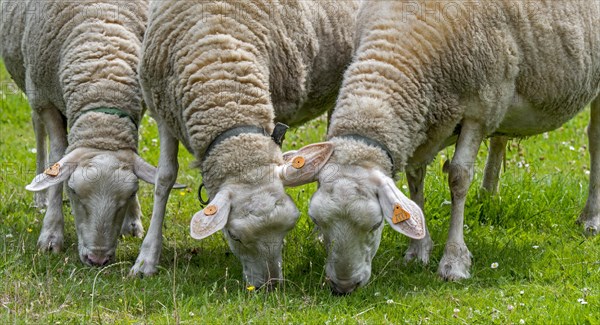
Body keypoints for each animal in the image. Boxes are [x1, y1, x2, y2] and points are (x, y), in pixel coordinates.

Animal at [0, 0, 162, 266]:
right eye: (73, 192)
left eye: (131, 193)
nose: (97, 259)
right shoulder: (45, 99)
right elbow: (57, 158)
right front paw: (51, 235)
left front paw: (133, 221)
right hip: (31, 86)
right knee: (38, 130)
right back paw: (40, 197)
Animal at [136, 0, 358, 286]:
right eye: (234, 236)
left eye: (288, 227)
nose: (271, 285)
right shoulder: (163, 115)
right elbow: (164, 179)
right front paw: (147, 258)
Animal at [300, 0, 600, 292]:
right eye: (316, 222)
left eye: (376, 224)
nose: (343, 287)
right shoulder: (425, 124)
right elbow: (415, 179)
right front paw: (417, 249)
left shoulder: (480, 108)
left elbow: (458, 178)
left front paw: (454, 261)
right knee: (499, 139)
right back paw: (488, 195)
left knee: (594, 138)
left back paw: (590, 219)